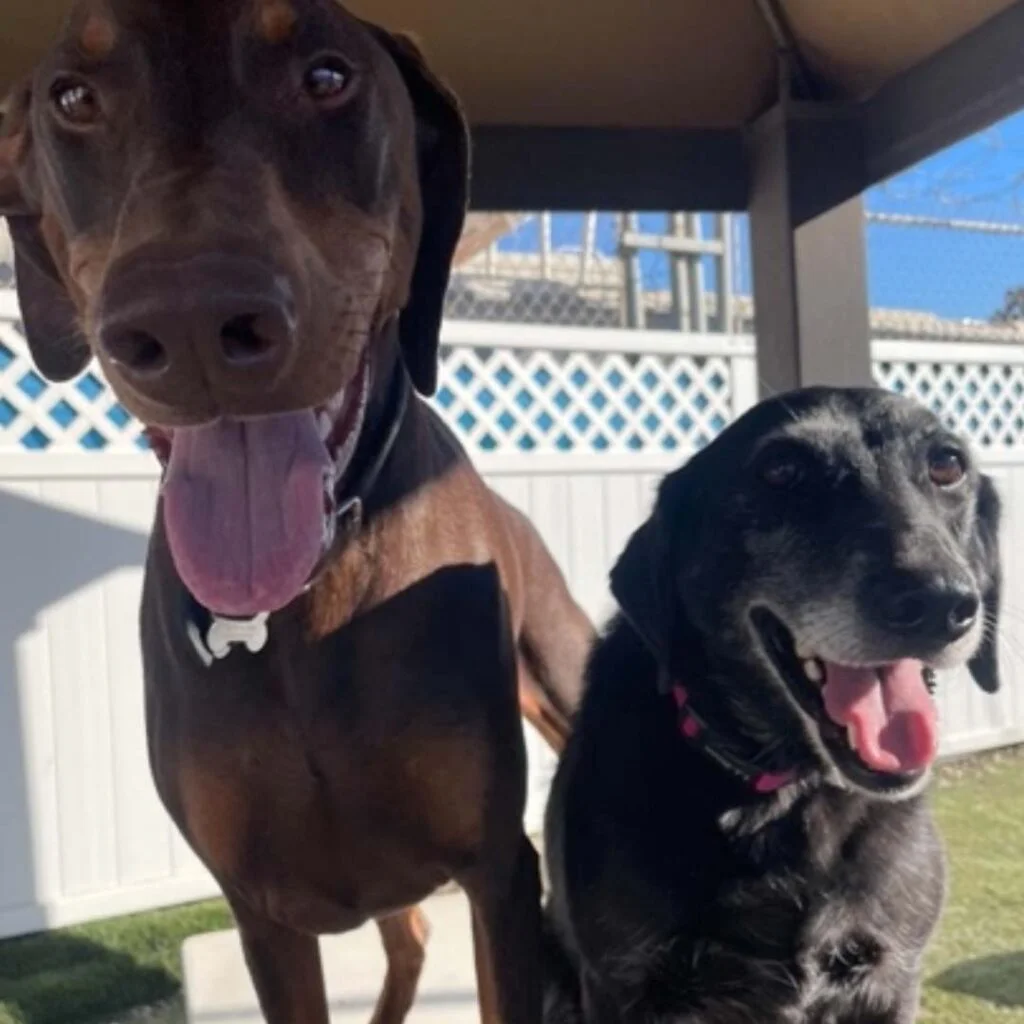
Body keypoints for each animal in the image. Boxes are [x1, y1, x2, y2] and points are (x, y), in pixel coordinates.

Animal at [0, 3, 595, 1021]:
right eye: (72, 98)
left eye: (326, 77)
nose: (191, 318)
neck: (308, 600)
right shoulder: (261, 911)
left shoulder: (496, 871)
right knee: (408, 935)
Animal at [543, 386, 1001, 1024]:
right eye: (781, 471)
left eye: (948, 464)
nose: (939, 603)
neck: (787, 794)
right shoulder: (620, 984)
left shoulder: (892, 977)